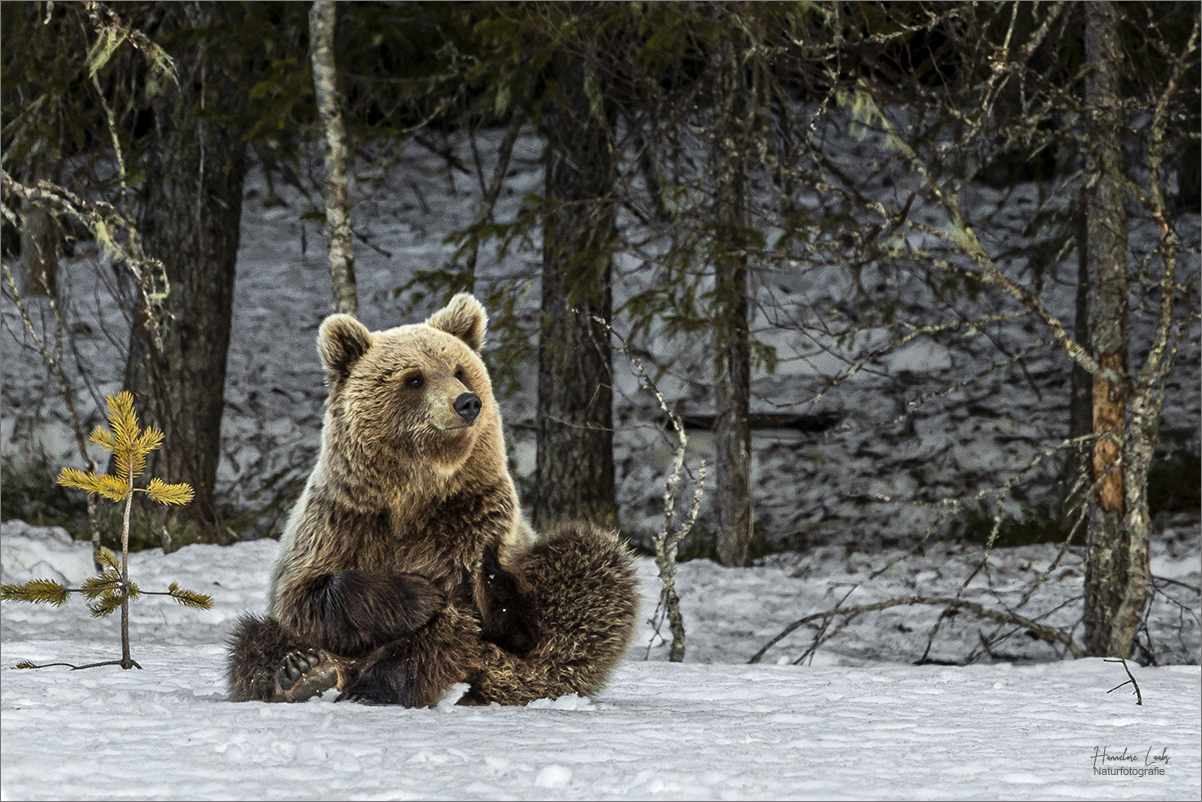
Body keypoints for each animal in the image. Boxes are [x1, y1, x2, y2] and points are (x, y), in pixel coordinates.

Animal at [225, 294, 639, 707]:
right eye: (414, 378)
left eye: (459, 370)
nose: (467, 402)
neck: (413, 493)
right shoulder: (341, 520)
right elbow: (302, 598)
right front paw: (419, 595)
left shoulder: (474, 518)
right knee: (254, 638)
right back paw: (302, 671)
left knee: (587, 570)